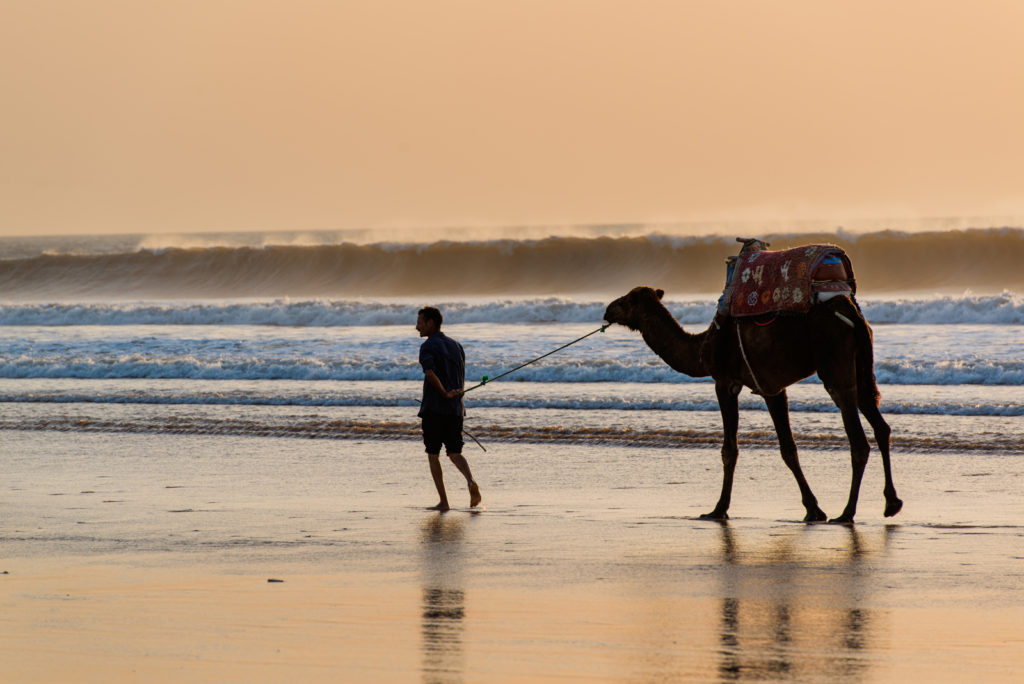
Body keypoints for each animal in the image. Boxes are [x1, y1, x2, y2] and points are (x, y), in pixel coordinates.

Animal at [602, 274, 901, 520]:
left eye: (627, 300)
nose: (607, 309)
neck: (701, 348)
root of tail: (854, 316)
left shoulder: (725, 382)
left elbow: (729, 450)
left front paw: (718, 509)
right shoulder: (772, 388)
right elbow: (788, 449)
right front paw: (813, 508)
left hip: (835, 362)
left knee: (857, 438)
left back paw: (847, 512)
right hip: (862, 365)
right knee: (880, 424)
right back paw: (891, 503)